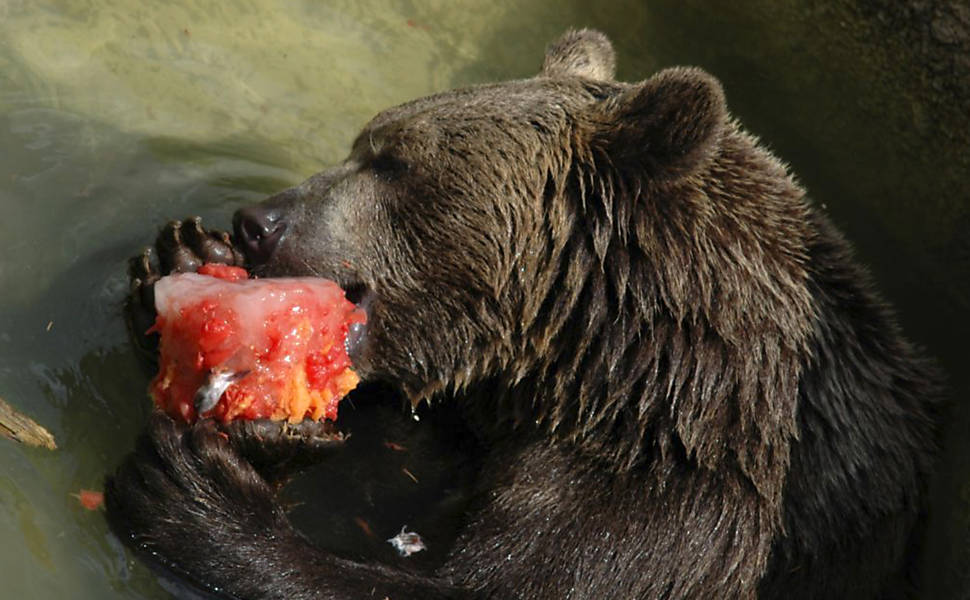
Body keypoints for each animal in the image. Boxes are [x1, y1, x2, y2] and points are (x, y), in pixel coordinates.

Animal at [104, 29, 936, 600]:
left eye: (392, 158)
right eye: (363, 142)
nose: (258, 221)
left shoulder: (668, 512)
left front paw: (195, 498)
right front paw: (181, 261)